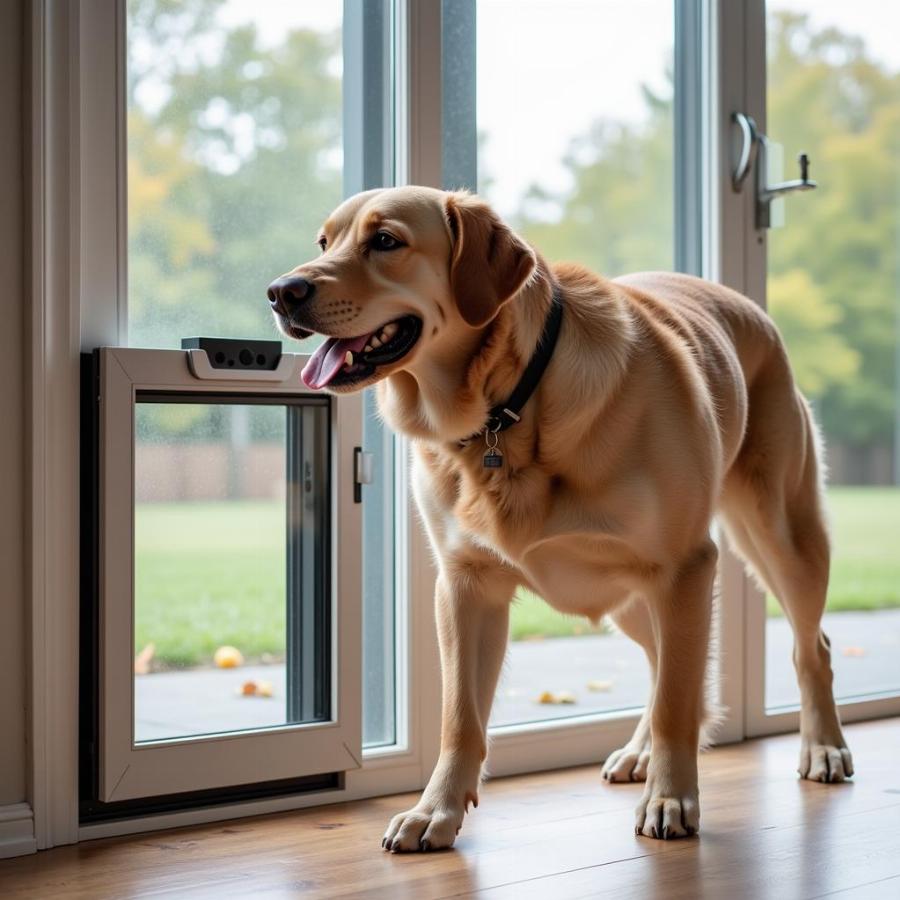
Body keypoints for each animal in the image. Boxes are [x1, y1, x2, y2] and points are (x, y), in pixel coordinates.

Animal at [266, 185, 852, 852]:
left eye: (385, 241)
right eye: (324, 242)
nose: (281, 291)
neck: (508, 407)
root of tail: (749, 307)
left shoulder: (684, 566)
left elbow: (676, 703)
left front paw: (673, 800)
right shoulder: (466, 588)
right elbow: (460, 718)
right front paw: (435, 811)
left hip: (777, 538)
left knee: (808, 648)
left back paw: (823, 747)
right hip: (635, 600)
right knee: (663, 666)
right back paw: (641, 752)